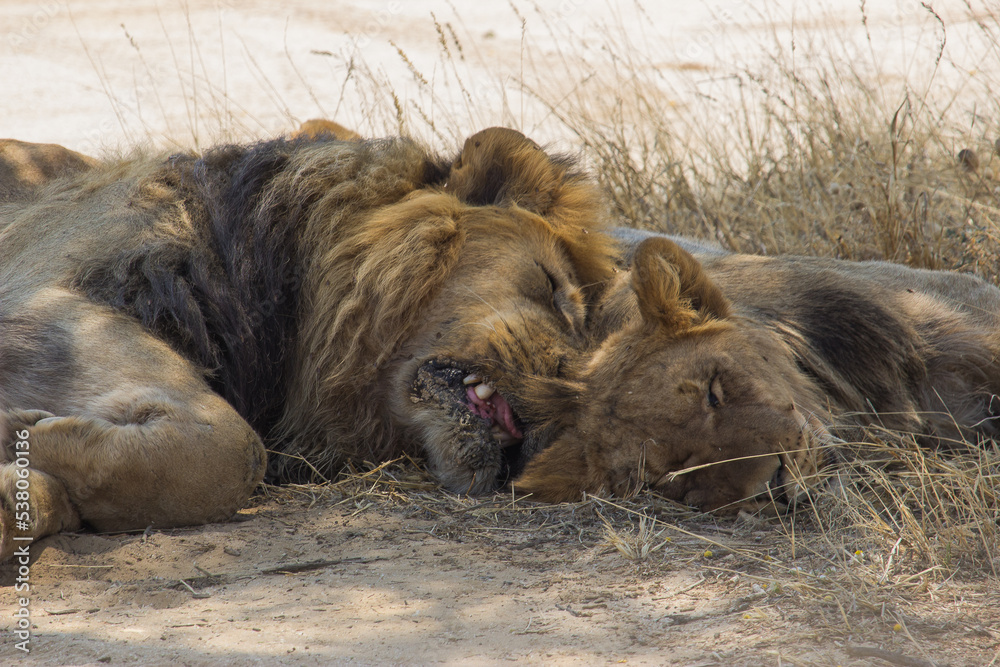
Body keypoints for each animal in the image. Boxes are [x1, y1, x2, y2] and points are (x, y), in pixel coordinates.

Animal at [0, 127, 617, 559]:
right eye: (552, 288)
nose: (573, 398)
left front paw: (20, 485)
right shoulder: (43, 296)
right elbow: (234, 452)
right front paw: (16, 436)